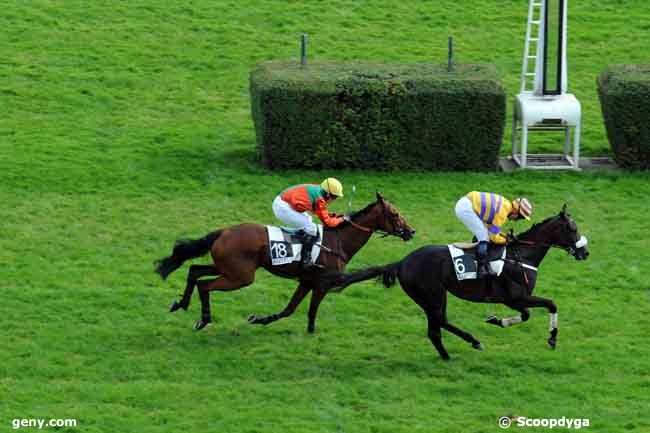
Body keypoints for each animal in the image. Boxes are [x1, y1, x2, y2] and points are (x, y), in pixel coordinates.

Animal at [154, 194, 412, 332]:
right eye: (395, 214)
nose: (411, 231)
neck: (339, 241)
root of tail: (224, 232)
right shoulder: (324, 282)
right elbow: (312, 308)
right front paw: (311, 332)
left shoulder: (307, 281)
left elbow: (290, 309)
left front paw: (260, 319)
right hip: (241, 277)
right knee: (204, 285)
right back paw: (203, 319)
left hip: (227, 268)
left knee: (194, 270)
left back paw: (181, 303)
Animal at [318, 204, 588, 360]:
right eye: (572, 229)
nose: (585, 253)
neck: (520, 256)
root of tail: (402, 262)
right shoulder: (516, 297)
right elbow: (550, 304)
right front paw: (552, 338)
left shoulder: (514, 300)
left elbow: (526, 315)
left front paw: (497, 320)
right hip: (433, 294)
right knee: (438, 324)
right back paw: (466, 345)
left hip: (432, 296)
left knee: (437, 326)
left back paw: (456, 350)